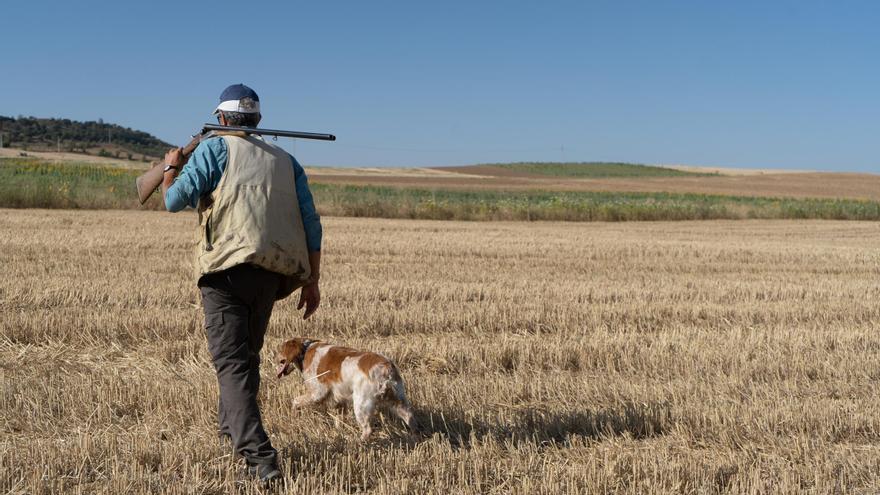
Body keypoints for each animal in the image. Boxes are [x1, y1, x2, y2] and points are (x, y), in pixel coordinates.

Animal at [276, 338, 418, 442]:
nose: (275, 358)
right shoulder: (340, 400)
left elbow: (296, 401)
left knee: (368, 429)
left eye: (281, 350)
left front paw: (293, 413)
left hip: (361, 404)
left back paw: (359, 442)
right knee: (410, 417)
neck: (305, 350)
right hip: (398, 400)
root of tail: (385, 368)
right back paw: (413, 436)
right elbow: (339, 419)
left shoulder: (318, 392)